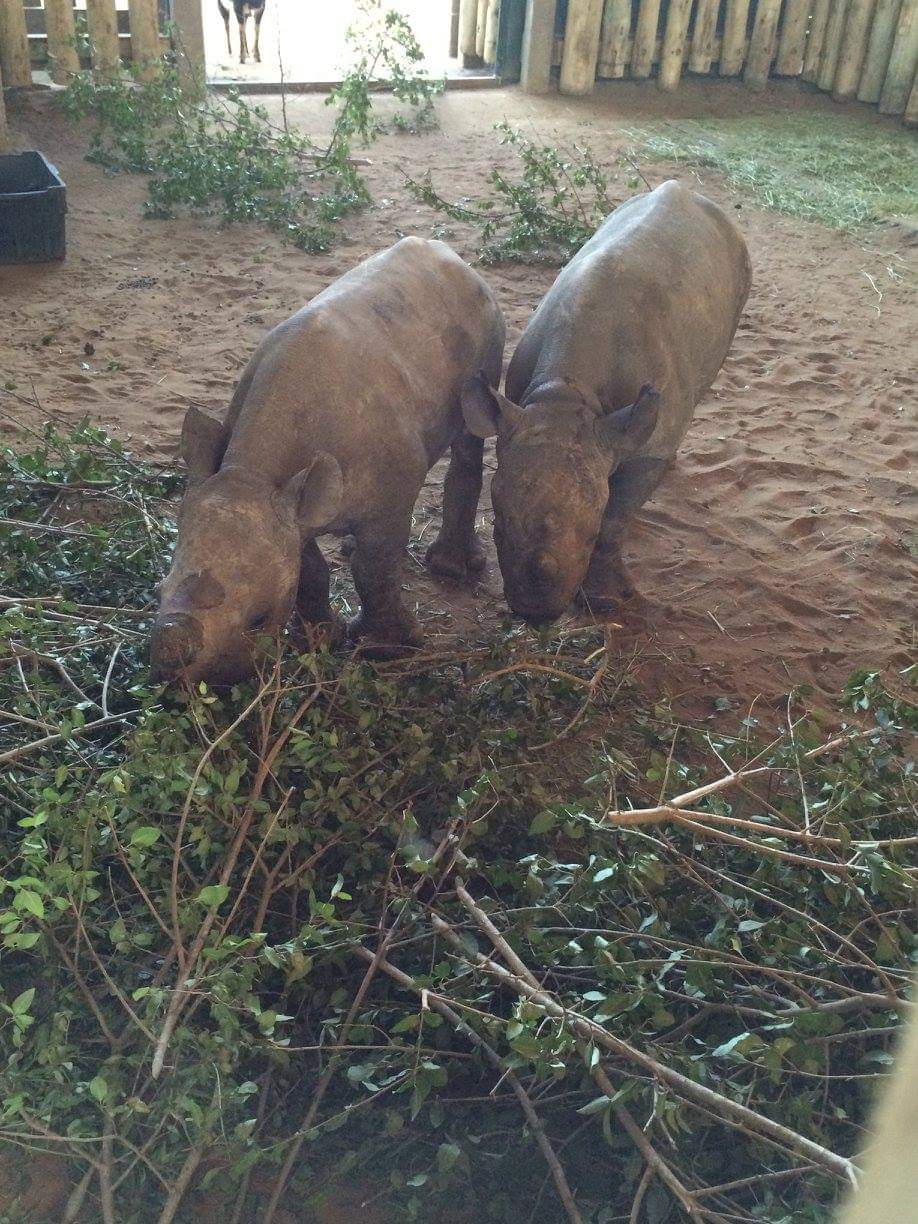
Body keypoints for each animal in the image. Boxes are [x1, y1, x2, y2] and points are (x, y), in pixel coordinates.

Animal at [153, 233, 506, 685]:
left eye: (259, 620)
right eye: (157, 591)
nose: (181, 683)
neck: (251, 471)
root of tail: (452, 255)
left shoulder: (383, 494)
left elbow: (373, 569)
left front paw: (388, 649)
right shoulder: (286, 506)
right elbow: (309, 571)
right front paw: (319, 640)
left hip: (484, 322)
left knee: (470, 427)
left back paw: (451, 568)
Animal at [462, 181, 749, 626]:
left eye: (590, 534)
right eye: (498, 530)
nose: (537, 612)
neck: (566, 393)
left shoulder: (636, 444)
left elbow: (618, 516)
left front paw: (606, 602)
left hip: (740, 267)